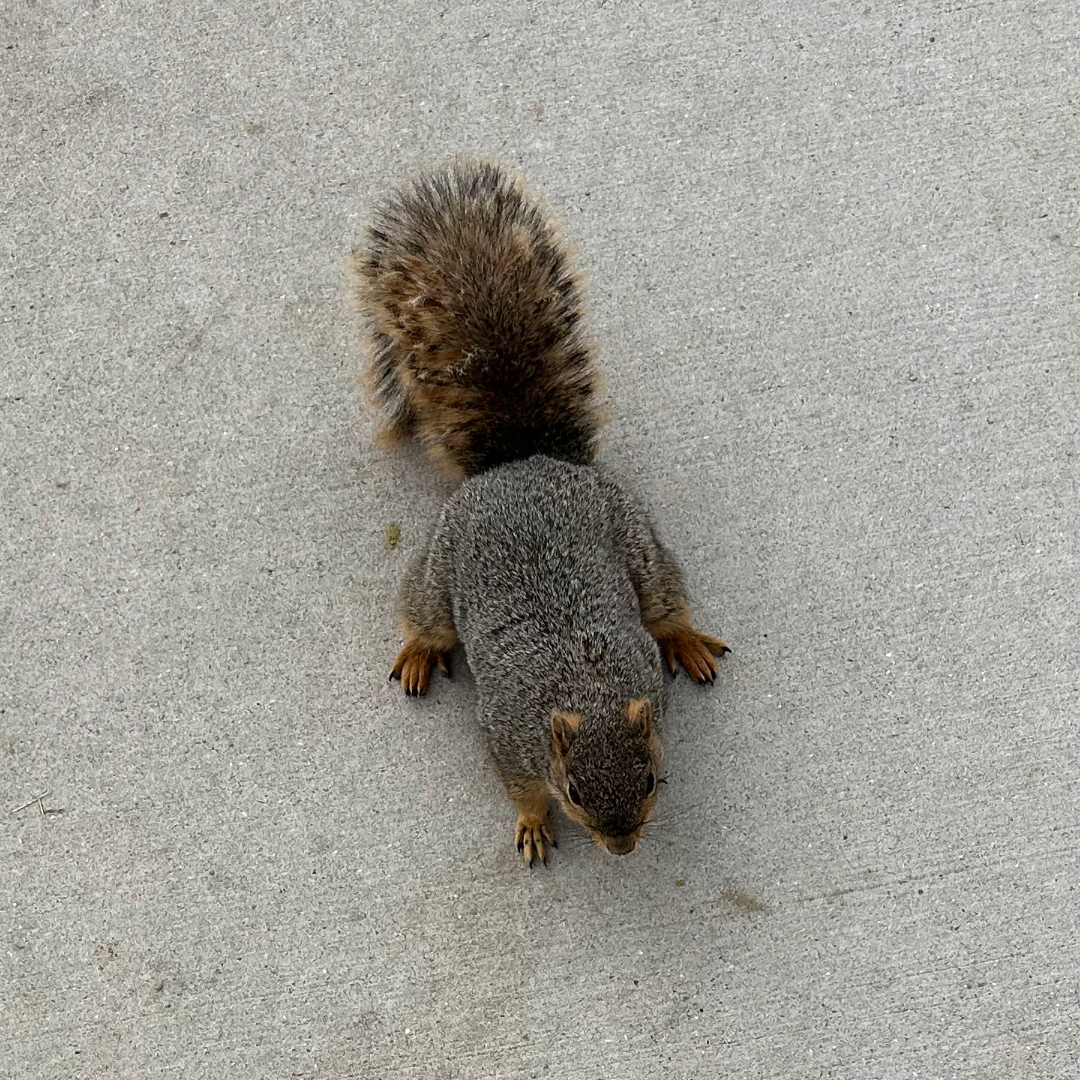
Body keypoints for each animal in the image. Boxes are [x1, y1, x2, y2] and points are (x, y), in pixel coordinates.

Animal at [349, 162, 730, 868]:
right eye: (575, 791)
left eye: (651, 778)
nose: (622, 848)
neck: (585, 688)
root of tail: (521, 463)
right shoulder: (506, 739)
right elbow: (519, 790)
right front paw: (531, 823)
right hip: (440, 567)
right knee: (423, 615)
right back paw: (418, 652)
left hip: (638, 540)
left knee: (666, 603)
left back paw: (685, 640)